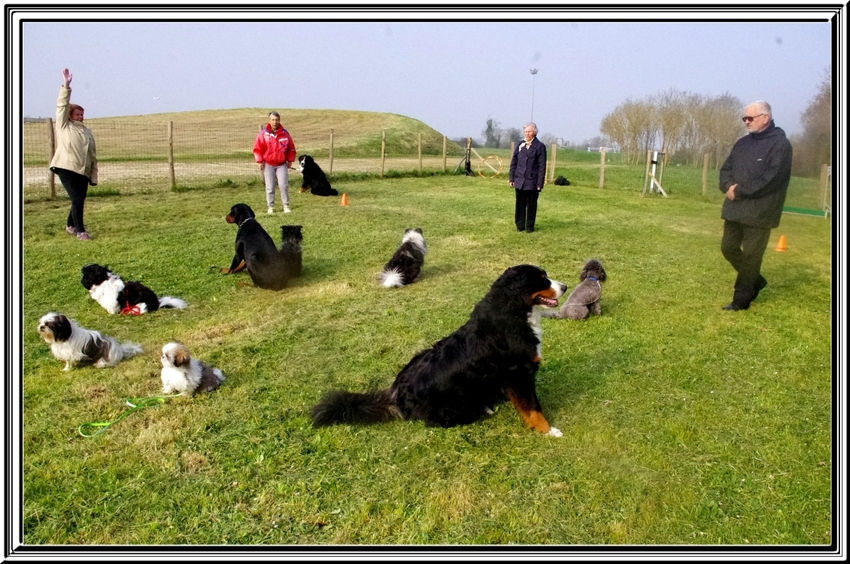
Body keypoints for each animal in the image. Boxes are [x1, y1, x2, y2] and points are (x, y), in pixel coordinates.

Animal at [308, 264, 568, 436]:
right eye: (542, 279)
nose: (565, 286)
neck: (513, 311)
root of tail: (396, 395)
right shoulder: (519, 374)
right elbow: (533, 408)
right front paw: (548, 431)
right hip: (453, 405)